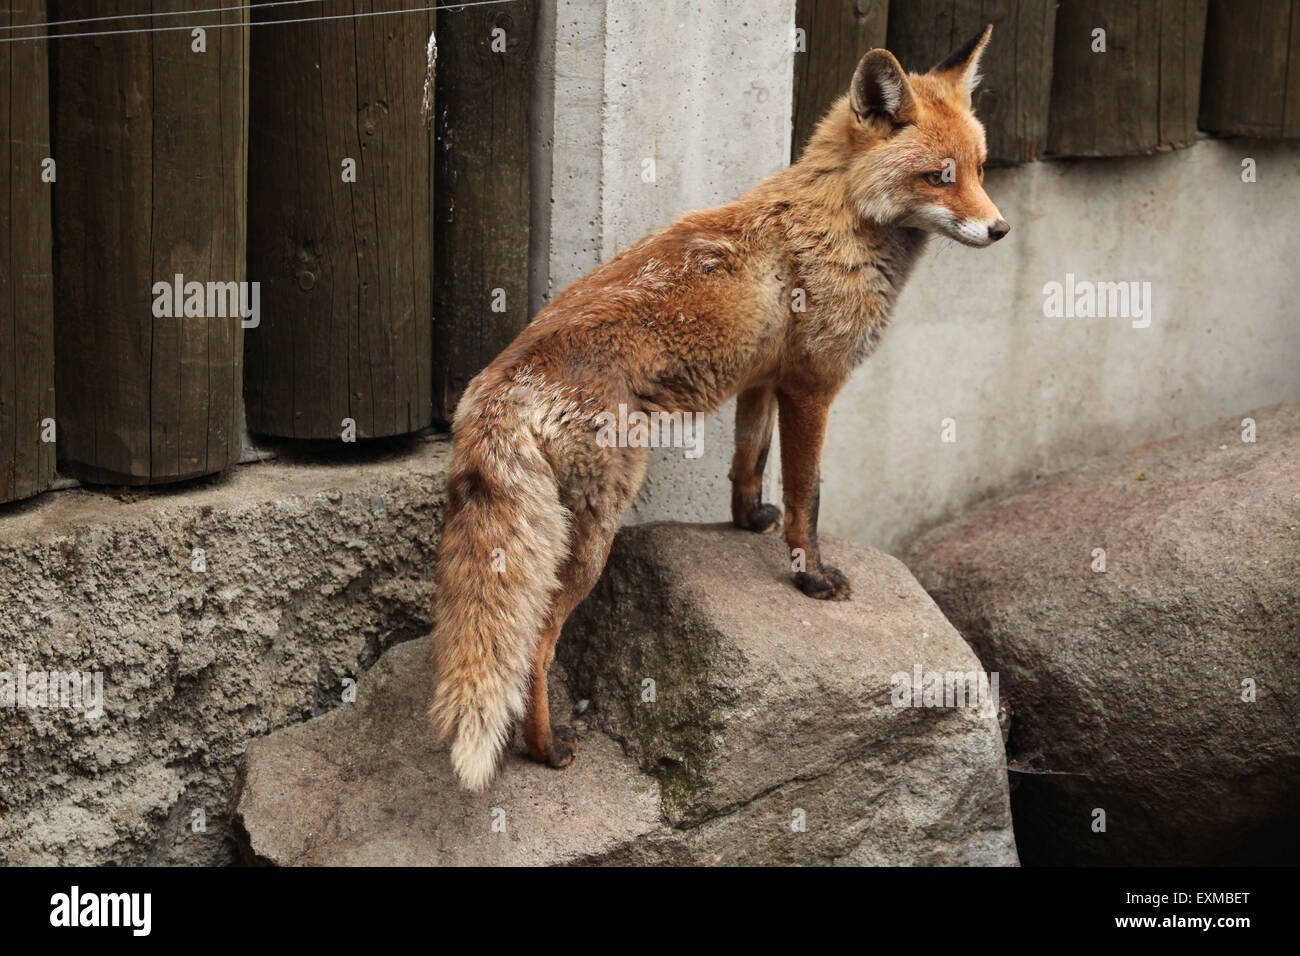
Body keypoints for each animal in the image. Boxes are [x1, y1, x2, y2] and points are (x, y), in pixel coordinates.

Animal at [431, 29, 1008, 790]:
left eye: (979, 169)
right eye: (938, 178)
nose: (1001, 229)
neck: (839, 220)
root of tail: (502, 378)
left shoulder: (763, 380)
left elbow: (748, 461)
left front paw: (745, 521)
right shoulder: (813, 385)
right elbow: (806, 496)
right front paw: (810, 578)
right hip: (593, 528)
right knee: (535, 641)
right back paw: (546, 747)